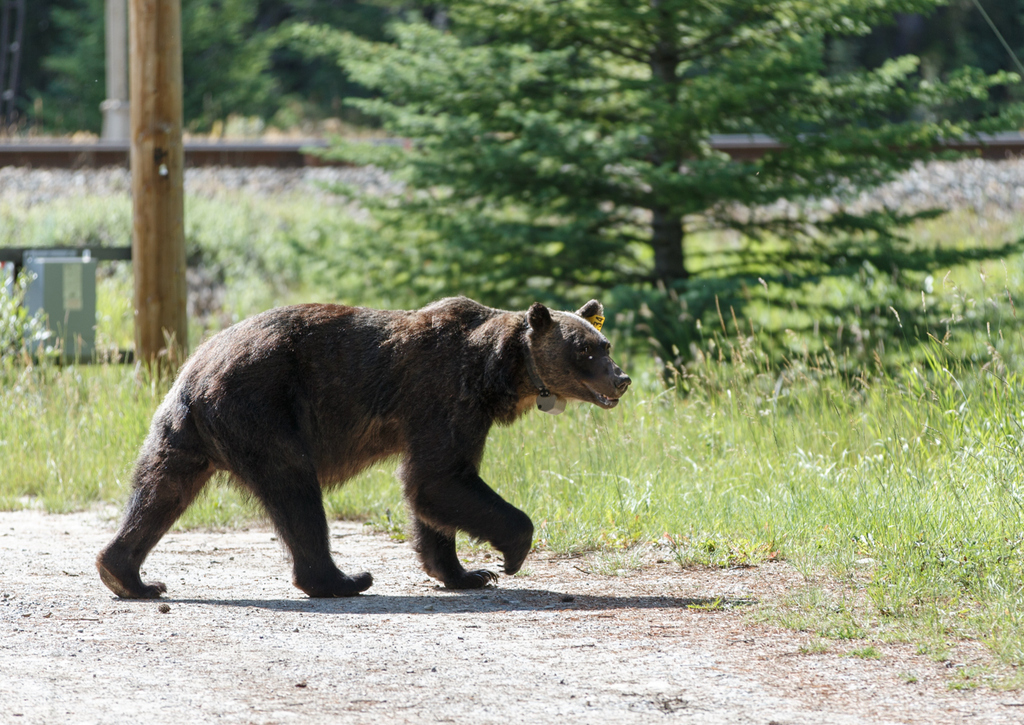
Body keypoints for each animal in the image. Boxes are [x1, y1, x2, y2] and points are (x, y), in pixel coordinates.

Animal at [96, 296, 626, 598]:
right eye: (585, 349)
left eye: (605, 343)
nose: (621, 378)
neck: (496, 372)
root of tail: (196, 365)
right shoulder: (444, 396)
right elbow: (439, 480)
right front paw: (508, 556)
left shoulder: (451, 414)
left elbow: (432, 492)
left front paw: (465, 573)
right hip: (262, 408)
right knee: (295, 489)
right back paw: (342, 580)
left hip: (186, 430)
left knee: (161, 488)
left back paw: (127, 574)